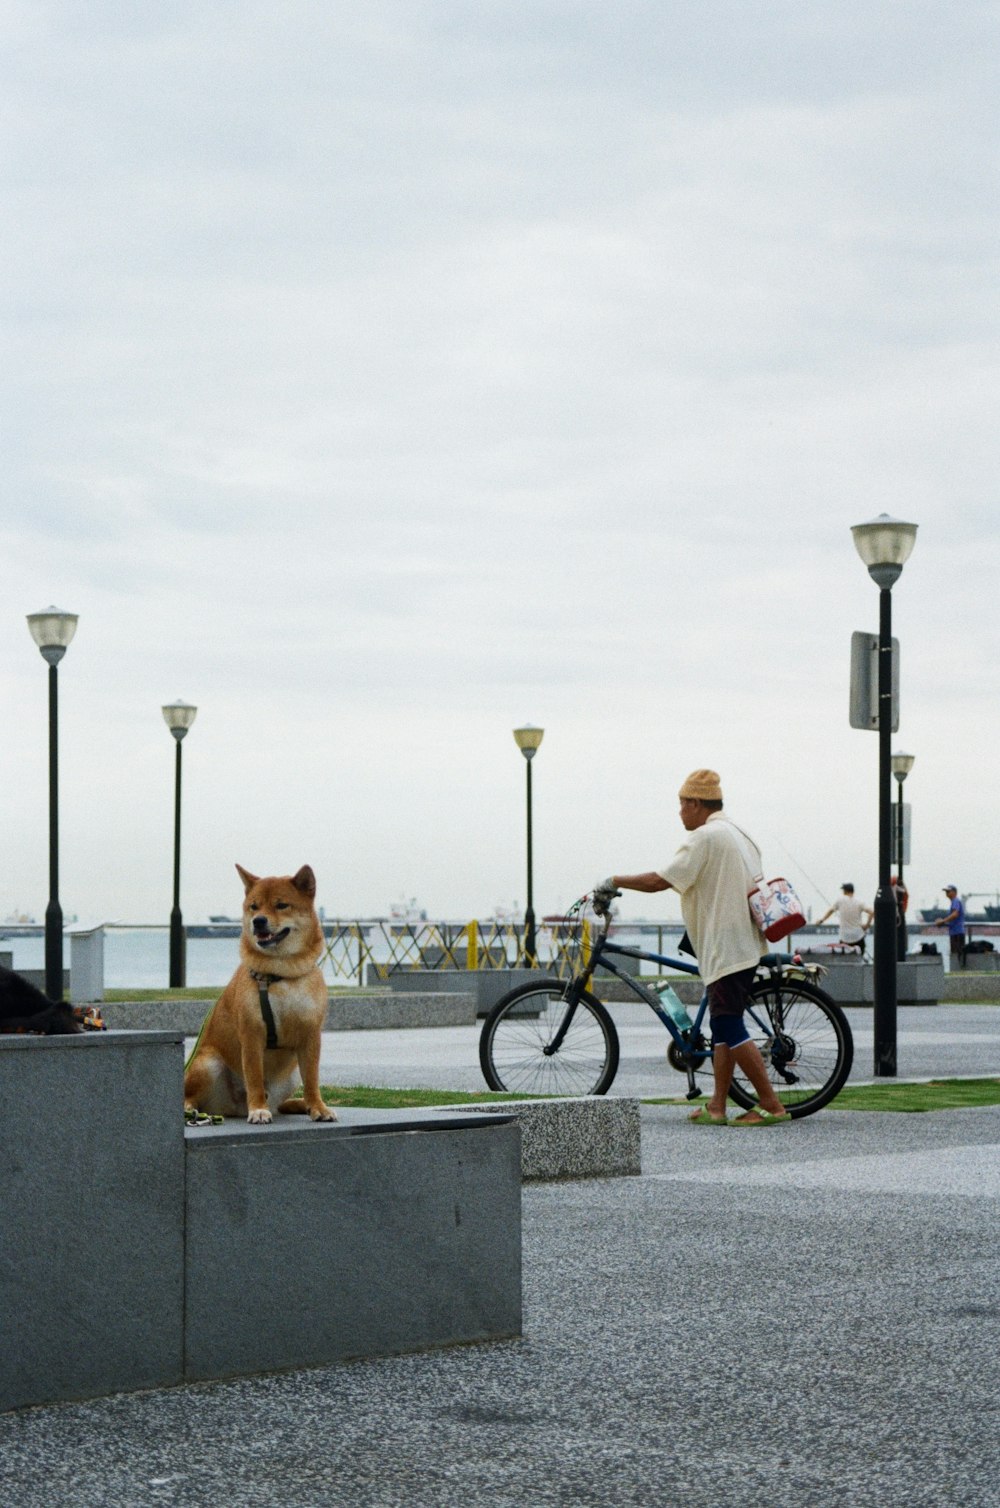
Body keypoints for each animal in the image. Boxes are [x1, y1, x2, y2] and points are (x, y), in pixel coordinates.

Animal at [180, 868, 336, 1127]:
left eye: (281, 905)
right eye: (254, 906)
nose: (258, 920)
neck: (281, 973)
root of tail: (234, 1108)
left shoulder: (311, 1033)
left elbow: (312, 1079)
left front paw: (318, 1107)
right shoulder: (252, 1033)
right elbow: (254, 1077)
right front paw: (259, 1110)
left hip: (292, 1074)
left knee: (282, 1104)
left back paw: (299, 1104)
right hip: (208, 1063)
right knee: (190, 1097)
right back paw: (192, 1111)